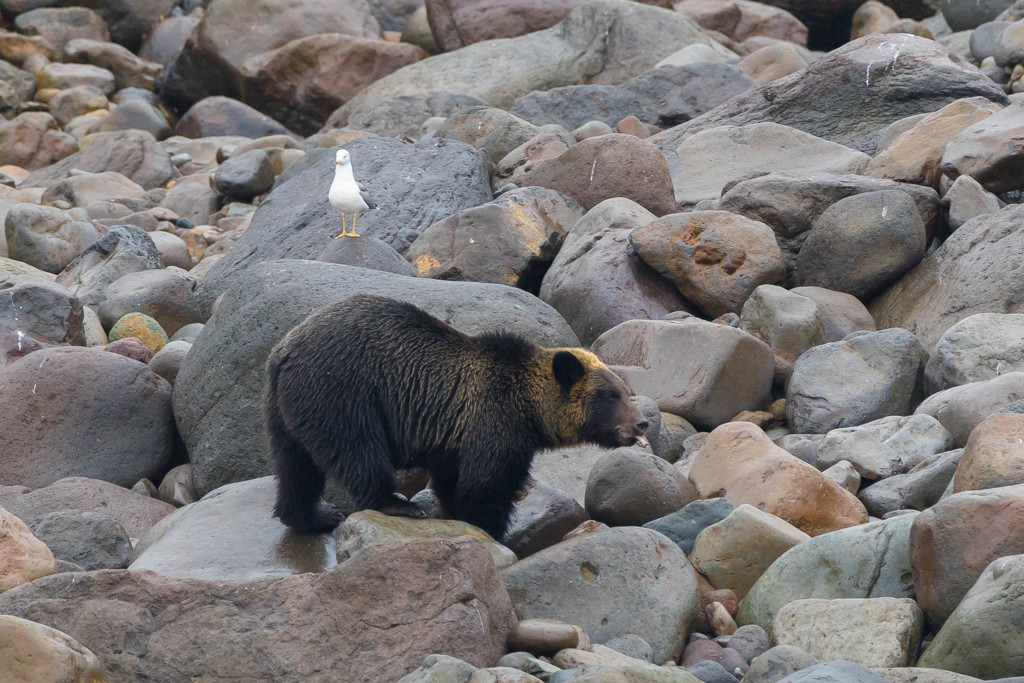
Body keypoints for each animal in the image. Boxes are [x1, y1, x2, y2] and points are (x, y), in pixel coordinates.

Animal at [264, 294, 647, 540]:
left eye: (626, 390)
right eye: (610, 395)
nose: (642, 422)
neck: (530, 412)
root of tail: (284, 351)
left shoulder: (453, 438)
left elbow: (451, 481)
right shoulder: (494, 422)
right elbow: (486, 486)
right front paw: (489, 529)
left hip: (287, 410)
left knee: (295, 467)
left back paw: (313, 515)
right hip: (343, 392)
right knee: (358, 450)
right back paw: (395, 504)